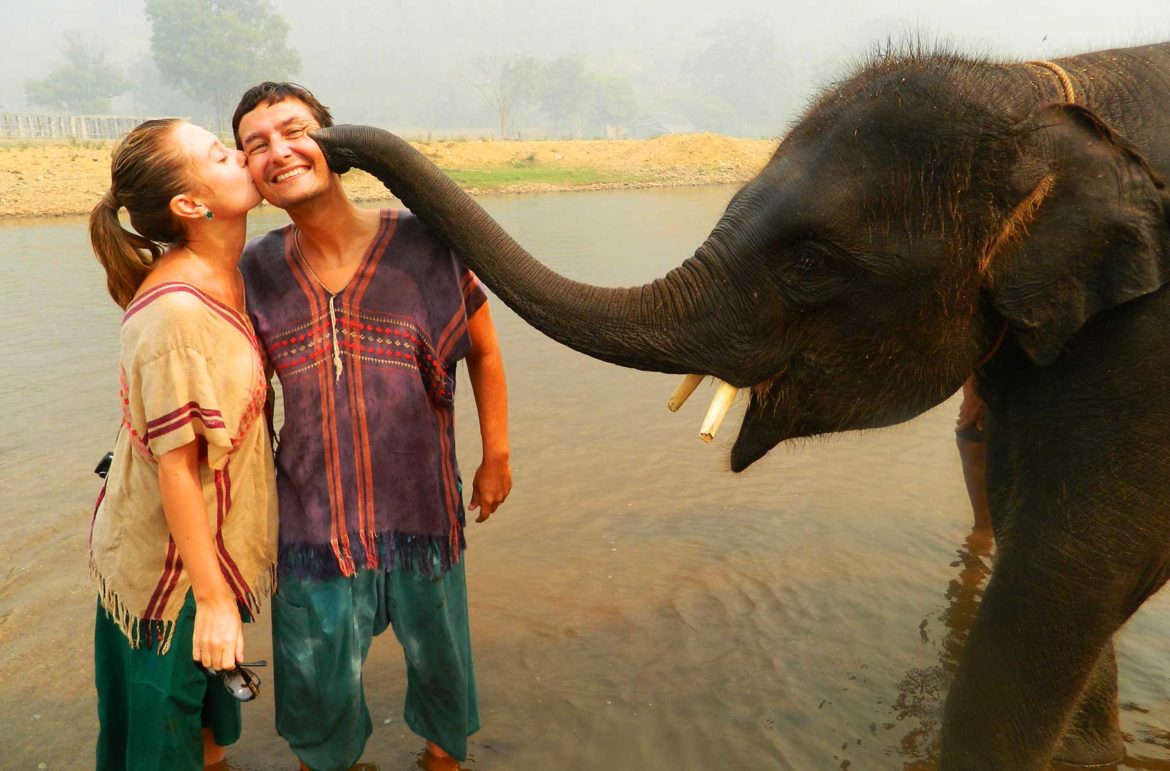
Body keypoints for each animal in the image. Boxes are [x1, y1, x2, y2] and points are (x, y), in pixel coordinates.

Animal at [308, 40, 1170, 771]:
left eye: (811, 262)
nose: (322, 140)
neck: (1041, 96)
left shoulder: (1144, 338)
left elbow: (1070, 563)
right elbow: (1028, 509)